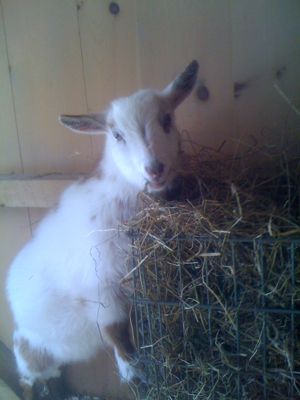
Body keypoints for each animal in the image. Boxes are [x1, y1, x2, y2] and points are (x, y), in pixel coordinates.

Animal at [5, 59, 198, 396]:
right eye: (117, 135)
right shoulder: (100, 287)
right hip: (30, 351)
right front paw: (132, 370)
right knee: (29, 375)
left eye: (167, 119)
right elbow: (116, 332)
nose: (154, 169)